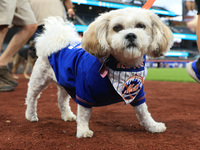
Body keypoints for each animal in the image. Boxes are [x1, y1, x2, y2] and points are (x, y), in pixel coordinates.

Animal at [25, 7, 173, 138]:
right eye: (117, 27)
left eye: (141, 25)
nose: (131, 35)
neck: (123, 67)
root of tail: (56, 41)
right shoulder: (84, 91)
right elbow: (84, 113)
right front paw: (83, 131)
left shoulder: (137, 92)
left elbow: (143, 111)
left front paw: (152, 126)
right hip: (39, 80)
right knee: (32, 98)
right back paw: (31, 115)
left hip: (65, 84)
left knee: (61, 100)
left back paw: (67, 115)